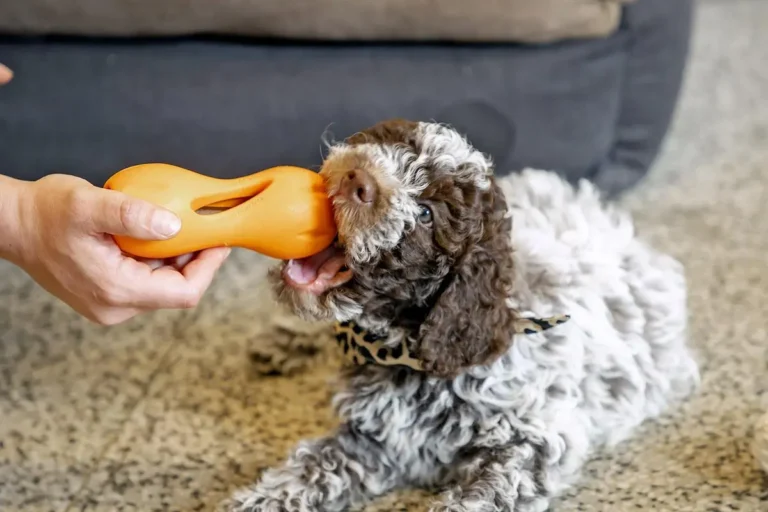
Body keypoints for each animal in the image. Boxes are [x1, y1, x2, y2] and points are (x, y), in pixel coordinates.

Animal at [225, 121, 700, 512]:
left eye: (425, 214)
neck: (406, 352)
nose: (356, 177)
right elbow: (316, 465)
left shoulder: (532, 442)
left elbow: (480, 497)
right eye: (390, 143)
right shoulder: (374, 439)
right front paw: (262, 500)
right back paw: (282, 341)